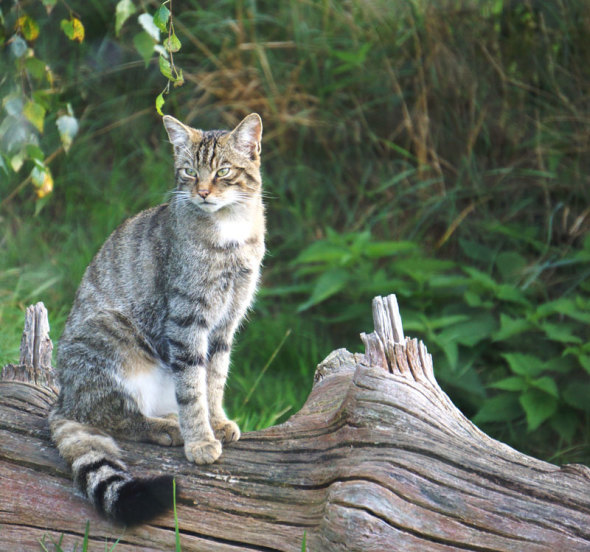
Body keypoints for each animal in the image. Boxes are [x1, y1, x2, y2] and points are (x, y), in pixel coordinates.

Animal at [48, 113, 266, 528]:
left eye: (223, 171)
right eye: (189, 171)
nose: (202, 192)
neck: (229, 230)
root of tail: (63, 399)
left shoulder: (225, 323)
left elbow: (214, 379)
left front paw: (217, 421)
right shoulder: (186, 321)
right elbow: (193, 387)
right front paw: (200, 439)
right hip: (113, 340)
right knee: (111, 416)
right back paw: (167, 428)